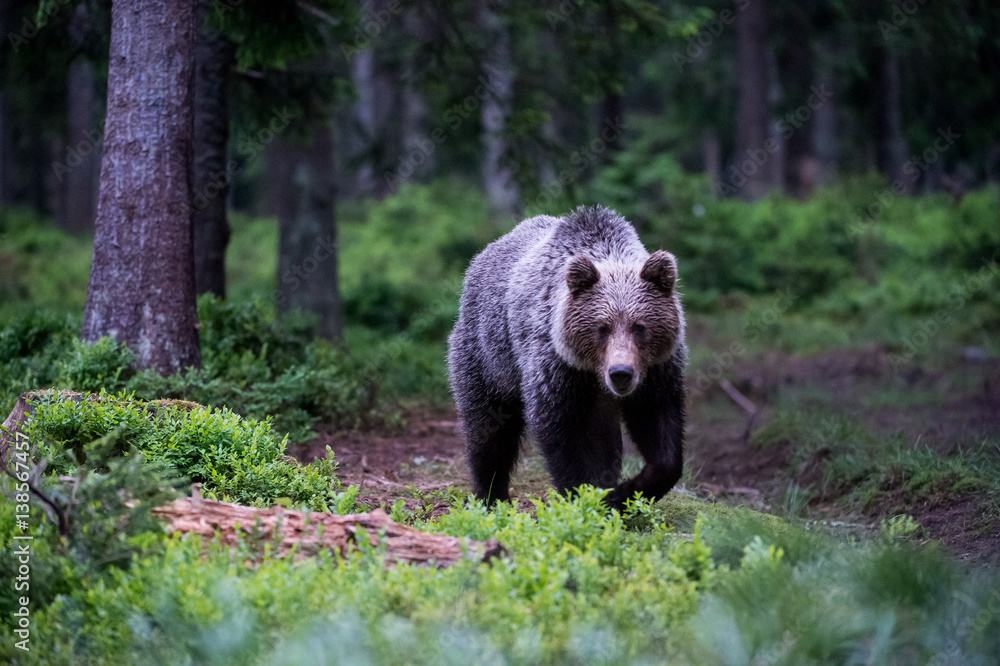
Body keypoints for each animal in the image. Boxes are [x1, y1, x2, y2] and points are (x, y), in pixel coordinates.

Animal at [447, 205, 686, 511]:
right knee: (488, 431)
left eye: (639, 326)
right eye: (602, 328)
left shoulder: (658, 369)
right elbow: (566, 437)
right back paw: (491, 497)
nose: (621, 373)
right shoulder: (557, 367)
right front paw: (588, 497)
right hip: (488, 357)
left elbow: (660, 429)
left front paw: (623, 492)